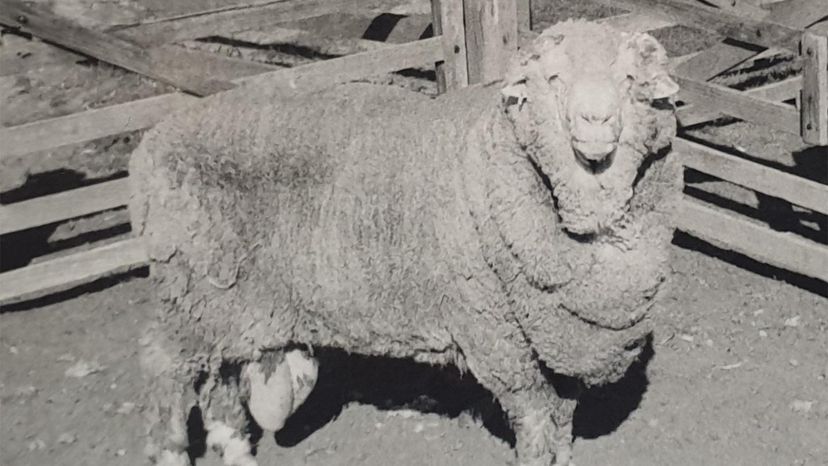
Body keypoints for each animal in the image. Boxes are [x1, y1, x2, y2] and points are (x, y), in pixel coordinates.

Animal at [129, 19, 681, 466]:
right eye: (554, 80)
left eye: (629, 82)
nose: (596, 121)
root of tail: (152, 142)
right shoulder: (499, 339)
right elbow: (537, 424)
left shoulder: (559, 341)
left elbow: (562, 422)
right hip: (188, 292)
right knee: (164, 372)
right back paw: (172, 451)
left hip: (222, 304)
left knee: (216, 380)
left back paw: (237, 453)